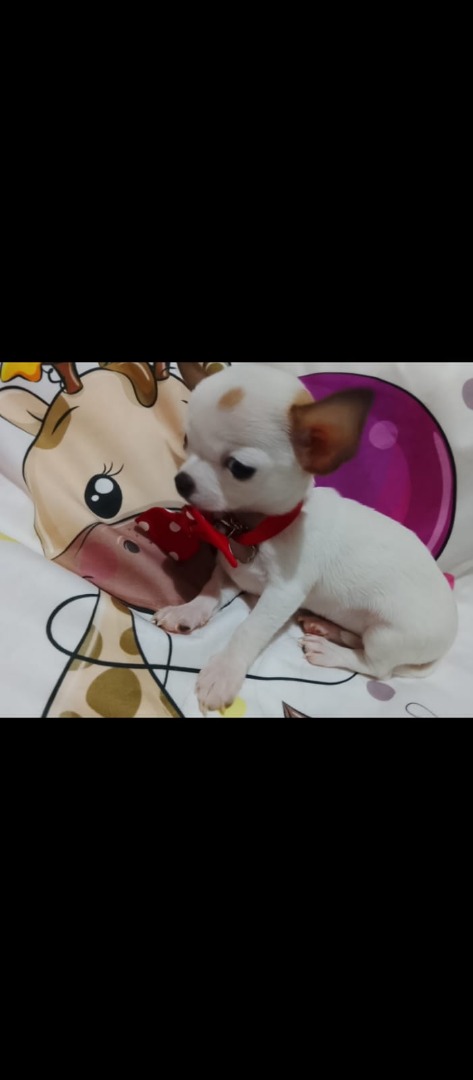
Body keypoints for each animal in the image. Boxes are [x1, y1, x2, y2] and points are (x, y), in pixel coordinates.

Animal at [154, 364, 458, 713]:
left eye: (239, 468)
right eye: (186, 440)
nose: (182, 481)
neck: (259, 528)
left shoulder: (281, 595)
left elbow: (248, 629)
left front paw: (223, 673)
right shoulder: (231, 572)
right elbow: (209, 591)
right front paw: (186, 611)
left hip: (388, 636)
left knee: (376, 668)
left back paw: (331, 651)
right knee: (361, 641)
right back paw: (328, 629)